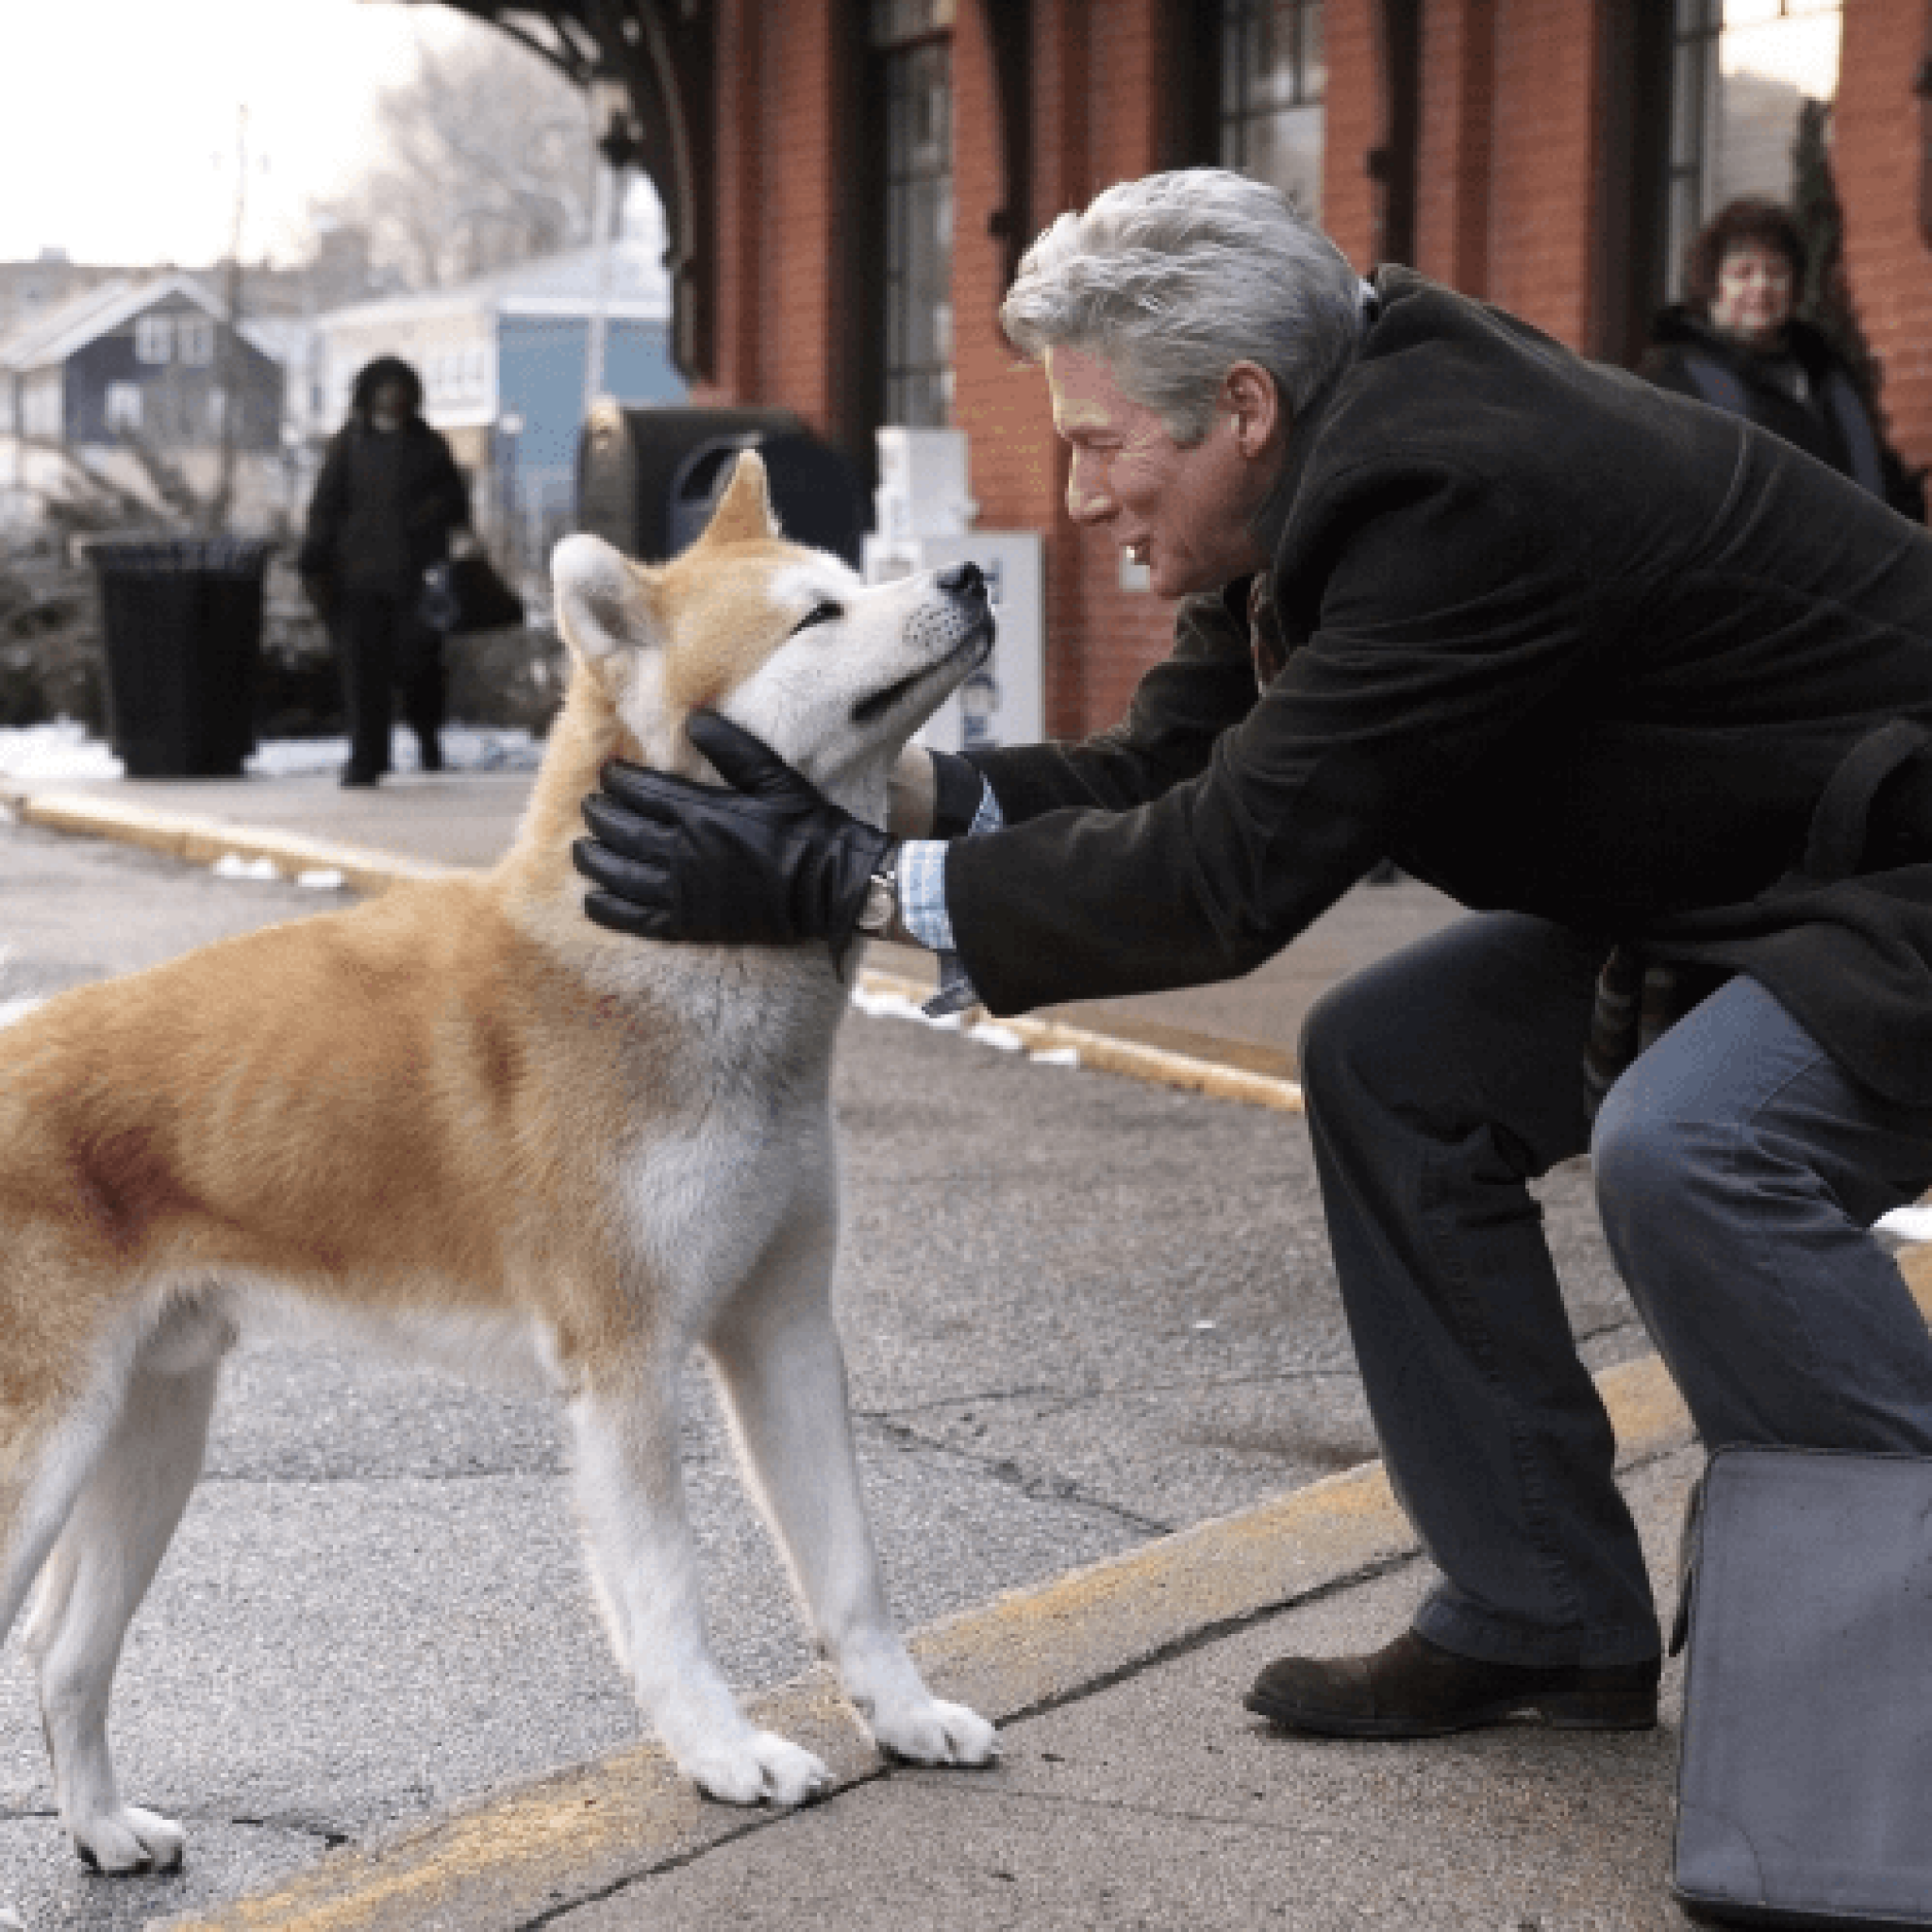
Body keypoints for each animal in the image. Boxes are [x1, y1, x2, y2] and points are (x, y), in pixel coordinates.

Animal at [0, 456, 996, 1901]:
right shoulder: (628, 1364)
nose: (970, 576)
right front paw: (722, 1753)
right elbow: (670, 1595)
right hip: (52, 1449)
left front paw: (906, 1716)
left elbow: (851, 1573)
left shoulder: (784, 1328)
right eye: (816, 614)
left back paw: (102, 1829)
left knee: (63, 1654)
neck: (662, 963)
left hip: (150, 1438)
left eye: (857, 578)